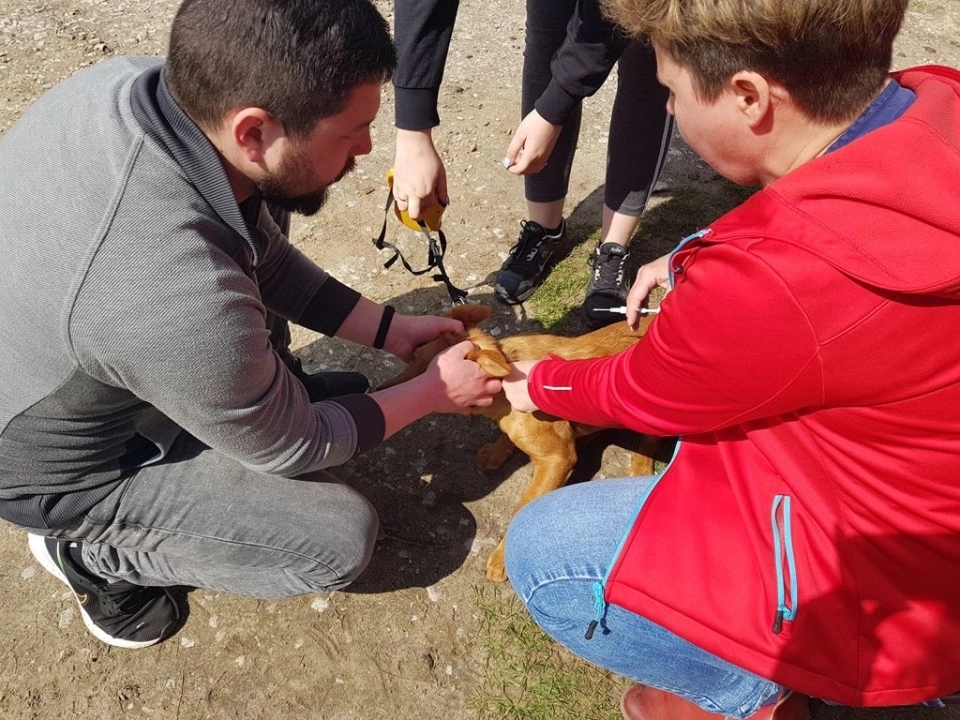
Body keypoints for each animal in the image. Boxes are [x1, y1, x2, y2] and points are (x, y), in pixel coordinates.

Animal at [378, 304, 656, 580]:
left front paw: (502, 557)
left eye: (433, 377)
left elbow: (520, 509)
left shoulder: (557, 459)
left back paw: (641, 464)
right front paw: (497, 451)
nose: (379, 390)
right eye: (414, 358)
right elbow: (506, 436)